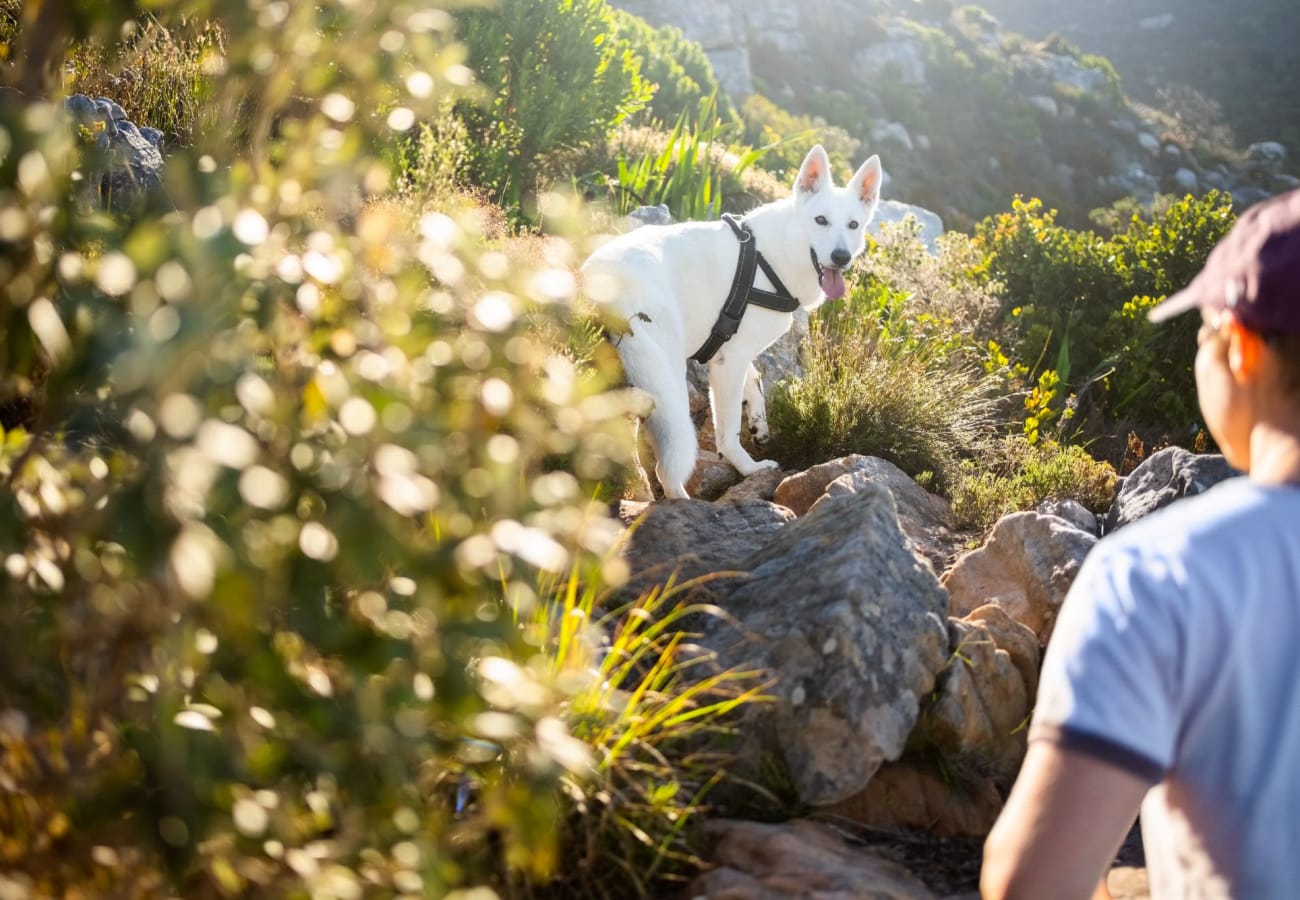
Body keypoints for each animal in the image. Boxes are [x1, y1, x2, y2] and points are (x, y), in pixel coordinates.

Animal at [582, 146, 878, 499]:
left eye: (853, 224)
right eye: (821, 220)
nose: (840, 257)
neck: (771, 257)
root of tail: (601, 282)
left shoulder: (731, 353)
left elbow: (756, 381)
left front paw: (759, 425)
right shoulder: (728, 363)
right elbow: (729, 432)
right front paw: (748, 467)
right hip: (668, 385)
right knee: (665, 467)